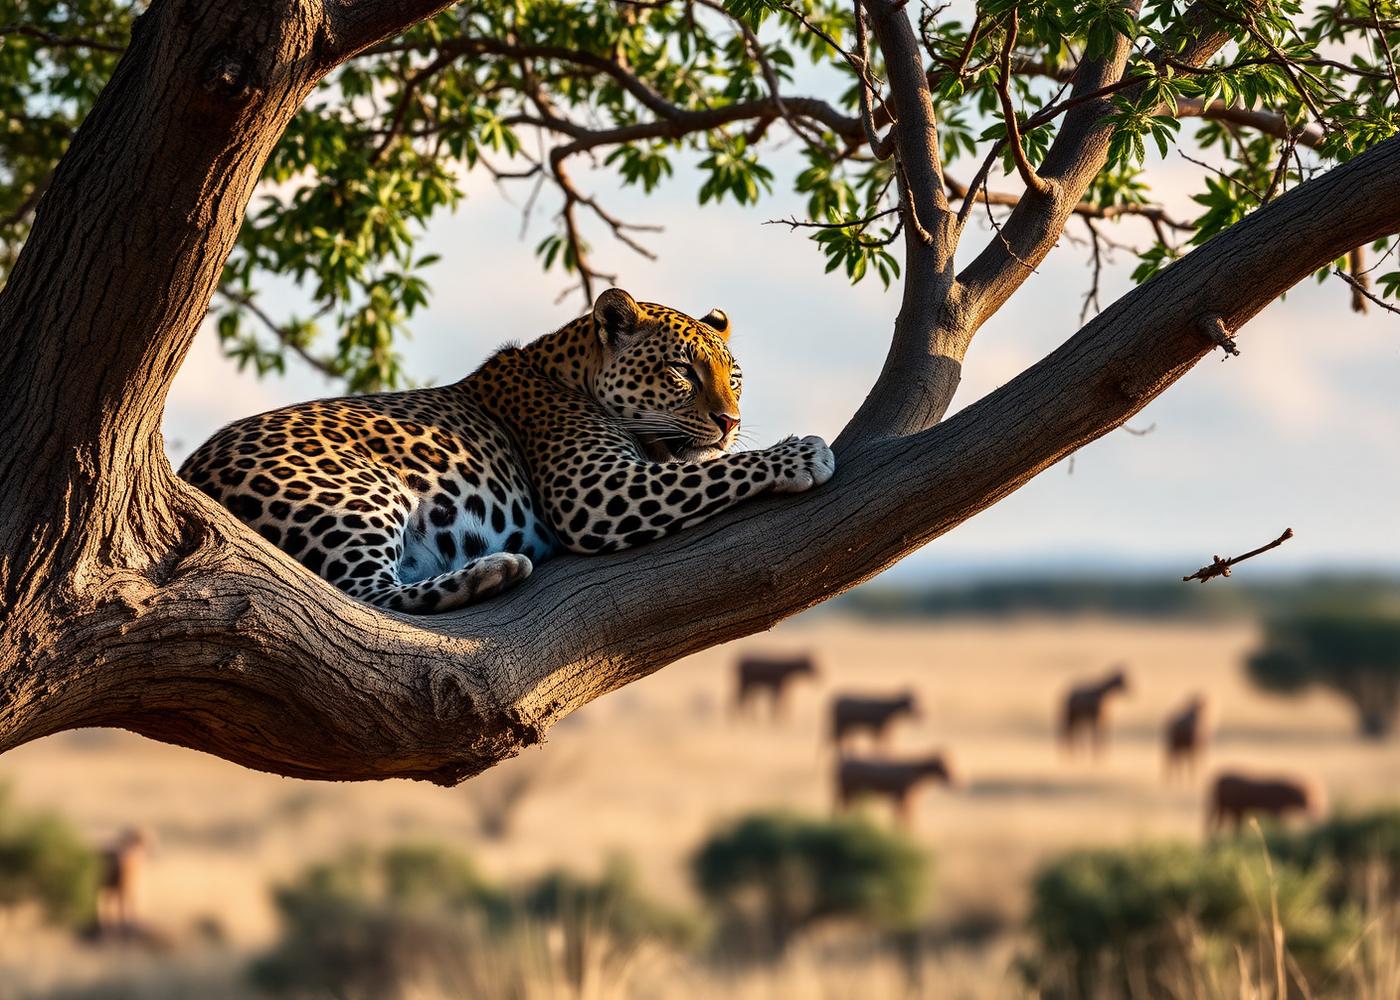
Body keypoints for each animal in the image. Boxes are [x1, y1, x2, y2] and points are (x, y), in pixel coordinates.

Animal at [179, 288, 836, 614]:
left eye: (734, 377)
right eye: (681, 371)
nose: (731, 421)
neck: (571, 374)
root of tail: (190, 469)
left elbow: (706, 466)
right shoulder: (597, 492)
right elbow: (718, 471)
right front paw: (801, 453)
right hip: (354, 491)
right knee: (363, 596)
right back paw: (492, 571)